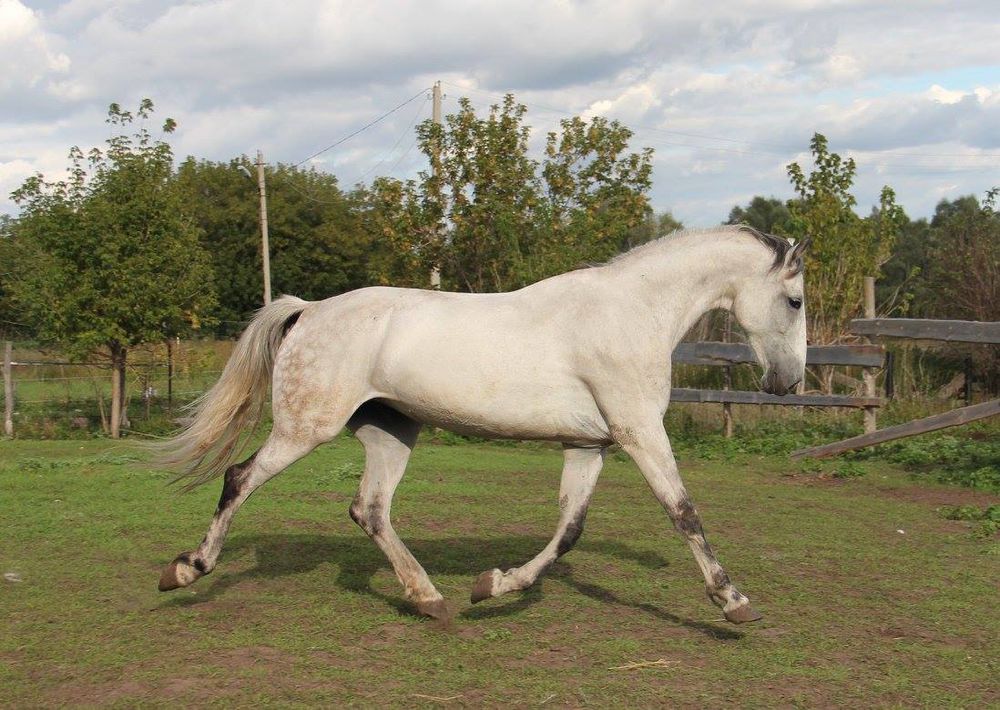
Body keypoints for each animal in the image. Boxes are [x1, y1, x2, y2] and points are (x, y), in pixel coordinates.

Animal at [158, 227, 812, 624]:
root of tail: (308, 310)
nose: (788, 383)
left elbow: (569, 532)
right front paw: (733, 602)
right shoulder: (640, 435)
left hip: (391, 433)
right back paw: (188, 569)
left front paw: (493, 585)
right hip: (305, 428)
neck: (630, 314)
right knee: (240, 479)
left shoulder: (589, 445)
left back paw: (429, 597)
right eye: (797, 301)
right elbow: (684, 512)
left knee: (369, 510)